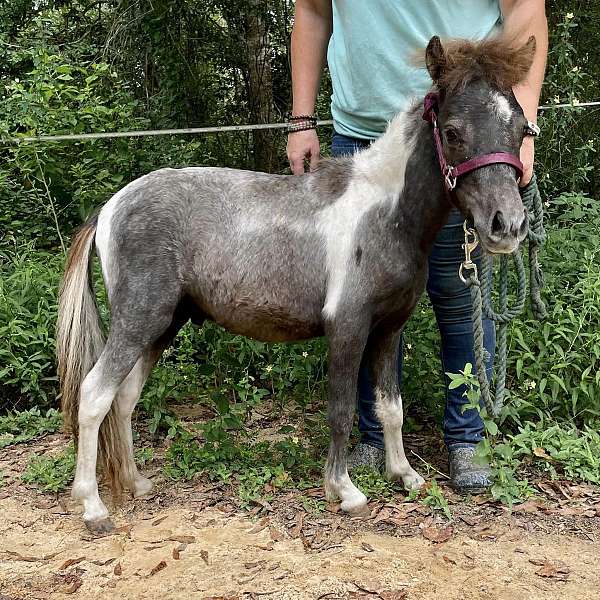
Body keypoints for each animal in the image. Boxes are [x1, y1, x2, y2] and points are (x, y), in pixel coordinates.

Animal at [56, 35, 536, 532]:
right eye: (453, 131)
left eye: (522, 129)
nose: (507, 225)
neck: (385, 214)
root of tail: (109, 208)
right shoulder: (347, 328)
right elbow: (342, 410)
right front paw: (345, 490)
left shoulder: (388, 330)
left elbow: (391, 408)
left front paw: (404, 474)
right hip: (139, 321)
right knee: (94, 395)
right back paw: (93, 506)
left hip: (163, 325)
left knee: (125, 397)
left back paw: (135, 482)